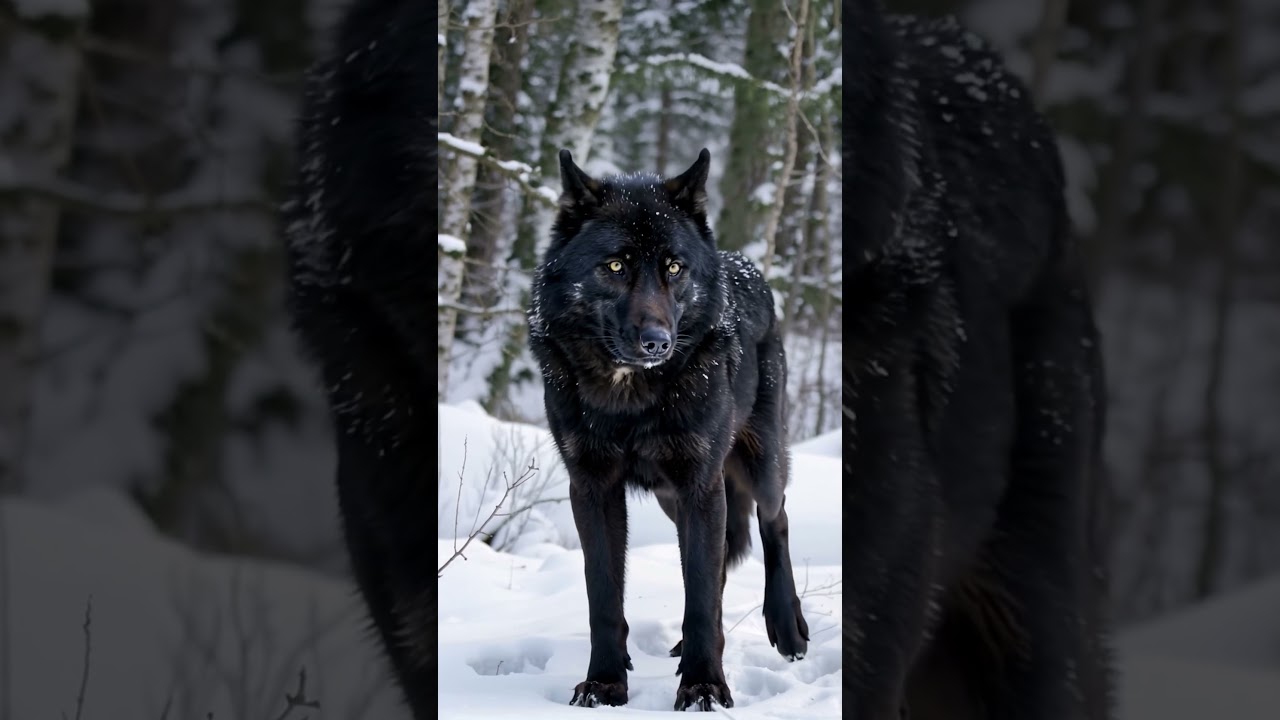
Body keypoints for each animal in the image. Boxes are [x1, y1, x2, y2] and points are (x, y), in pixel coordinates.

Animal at [528, 149, 811, 711]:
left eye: (674, 268)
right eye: (615, 265)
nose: (658, 341)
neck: (629, 400)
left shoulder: (700, 484)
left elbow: (699, 595)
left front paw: (705, 687)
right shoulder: (593, 489)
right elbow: (604, 596)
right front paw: (604, 683)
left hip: (757, 466)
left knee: (776, 520)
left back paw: (787, 627)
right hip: (670, 497)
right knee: (723, 557)